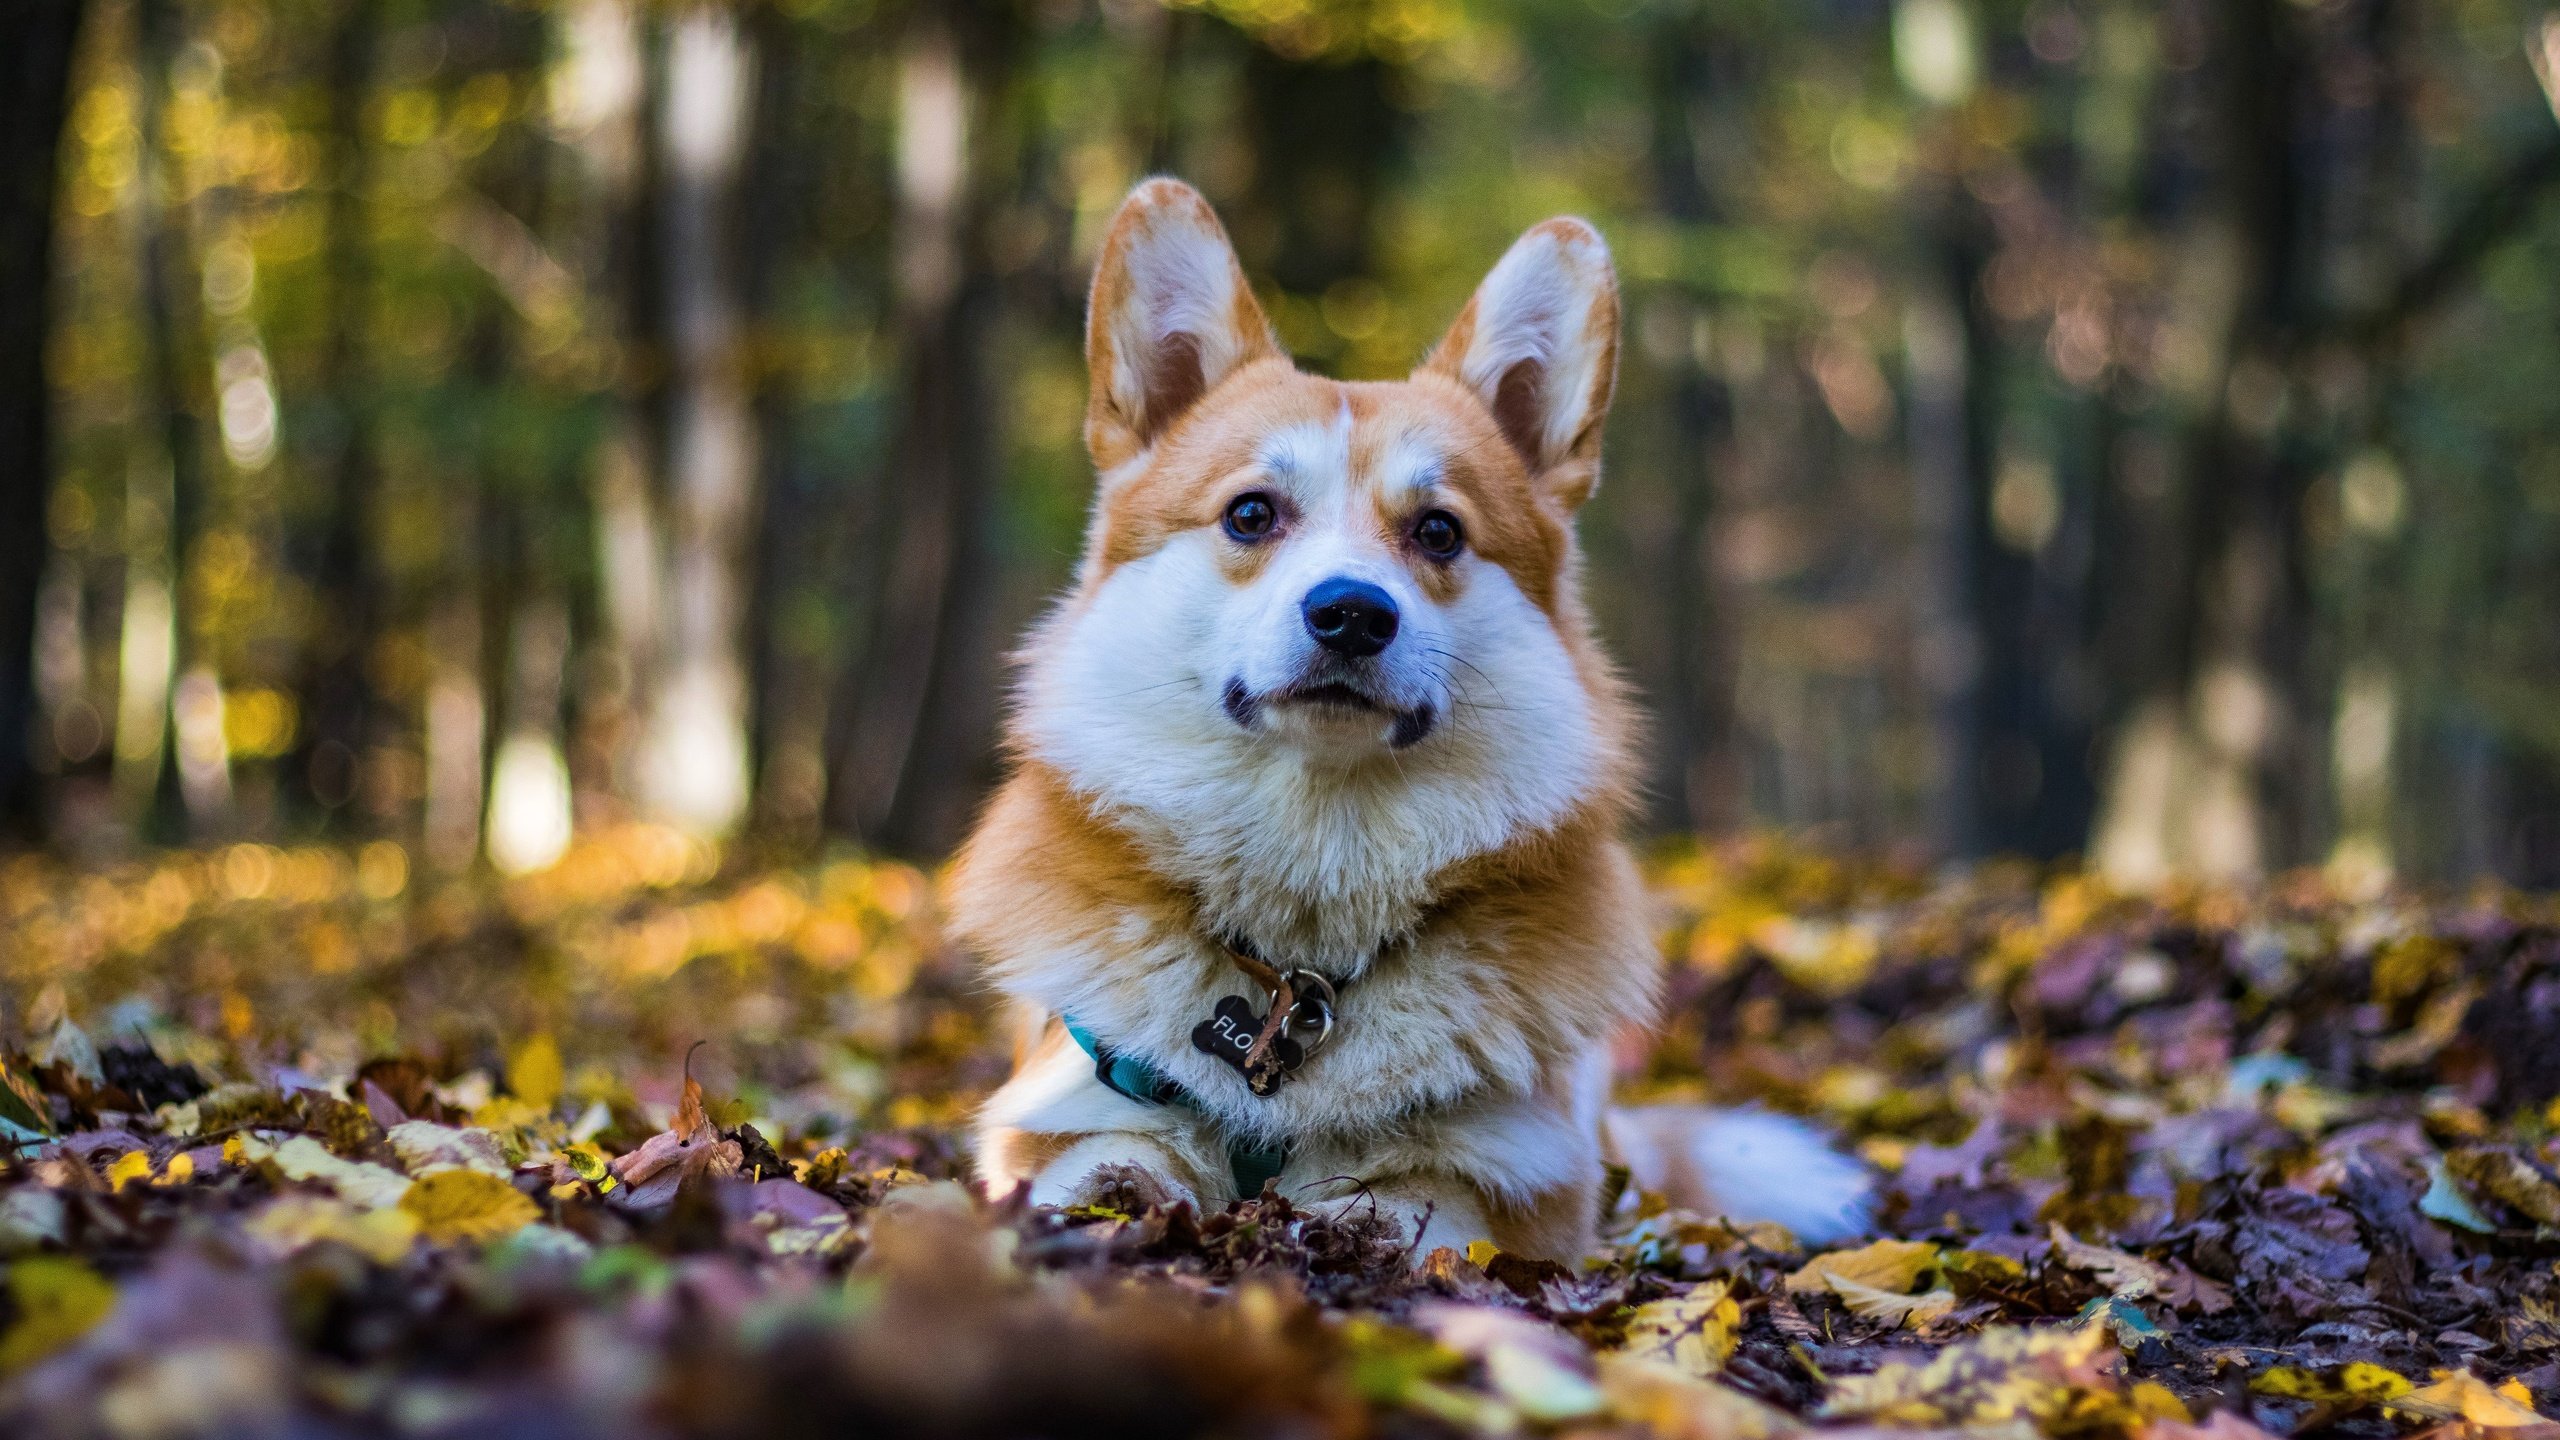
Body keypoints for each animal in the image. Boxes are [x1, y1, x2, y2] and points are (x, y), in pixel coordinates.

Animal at [952, 176, 1873, 1255]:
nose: (1352, 613)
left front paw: (1342, 1225)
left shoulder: (1519, 1174)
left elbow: (1419, 1209)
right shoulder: (1063, 1108)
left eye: (1437, 531)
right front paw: (1128, 1203)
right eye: (1251, 514)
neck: (1302, 954)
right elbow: (1101, 1163)